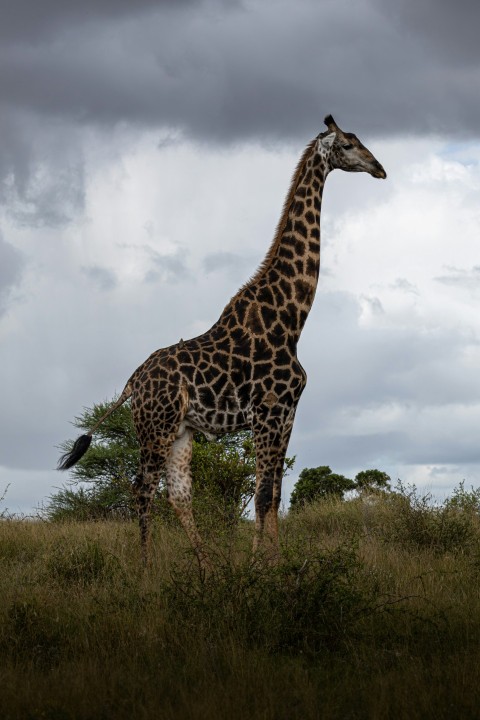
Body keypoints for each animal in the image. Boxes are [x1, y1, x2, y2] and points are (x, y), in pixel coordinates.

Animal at [58, 115, 386, 567]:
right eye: (350, 144)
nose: (380, 168)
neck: (291, 319)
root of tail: (131, 383)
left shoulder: (287, 414)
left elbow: (274, 495)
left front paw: (271, 563)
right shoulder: (267, 412)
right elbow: (262, 495)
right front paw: (259, 566)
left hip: (180, 432)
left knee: (179, 497)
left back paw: (208, 569)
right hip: (155, 428)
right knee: (142, 490)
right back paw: (146, 570)